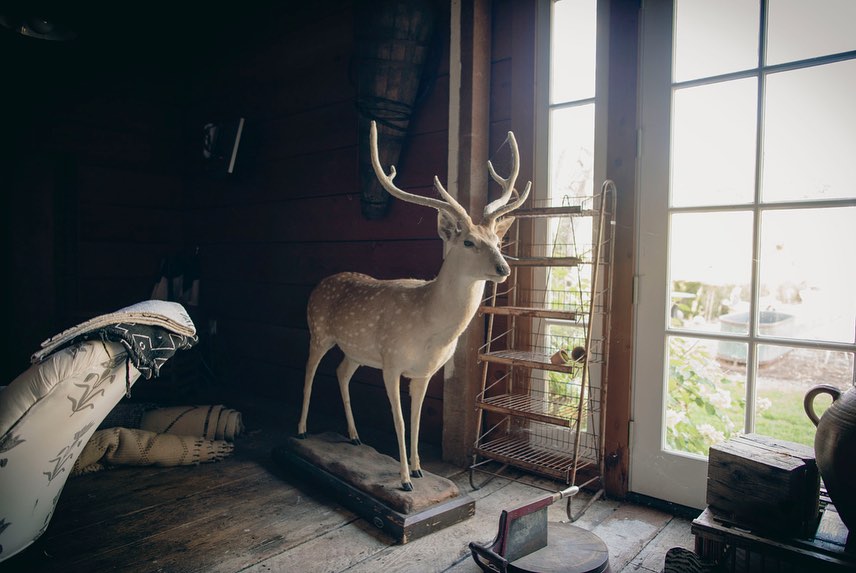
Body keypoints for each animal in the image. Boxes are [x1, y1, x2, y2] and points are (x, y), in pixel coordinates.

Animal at [297, 120, 530, 491]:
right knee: (308, 371)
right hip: (318, 331)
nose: (503, 268)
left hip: (356, 350)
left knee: (341, 372)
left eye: (497, 240)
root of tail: (320, 284)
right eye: (468, 242)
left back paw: (355, 436)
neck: (430, 326)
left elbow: (418, 419)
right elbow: (401, 421)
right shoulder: (392, 362)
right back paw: (303, 430)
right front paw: (405, 479)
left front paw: (420, 470)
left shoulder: (424, 372)